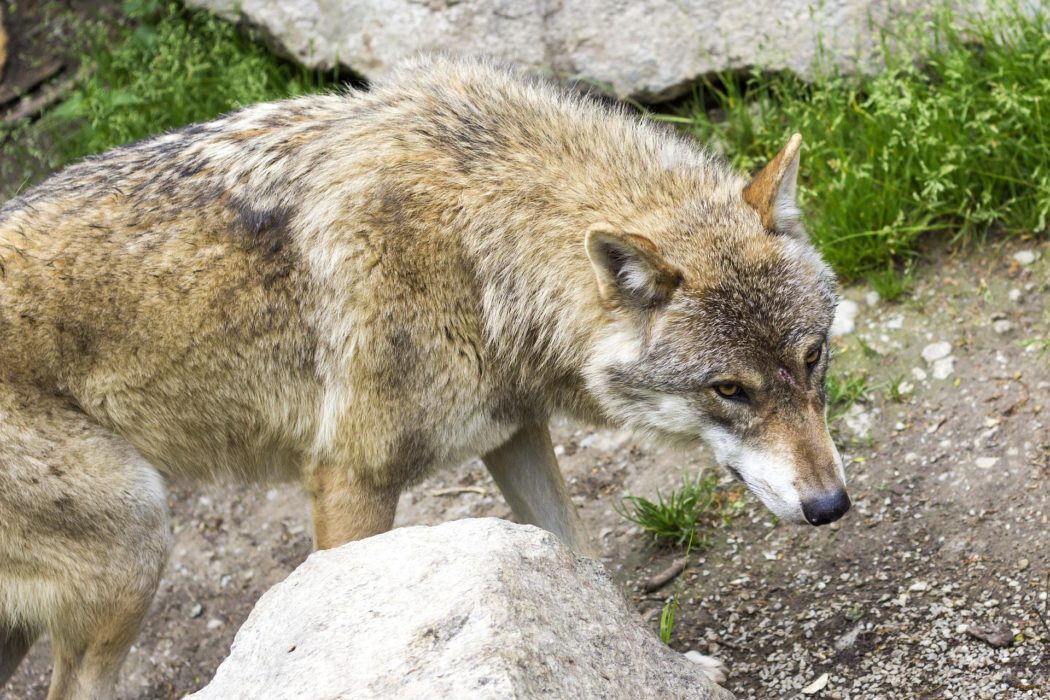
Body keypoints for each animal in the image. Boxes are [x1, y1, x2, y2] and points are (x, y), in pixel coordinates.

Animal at [0, 56, 848, 698]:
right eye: (729, 389)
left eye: (812, 359)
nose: (831, 506)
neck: (481, 253)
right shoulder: (349, 480)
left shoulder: (514, 432)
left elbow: (584, 562)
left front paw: (664, 668)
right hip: (138, 544)